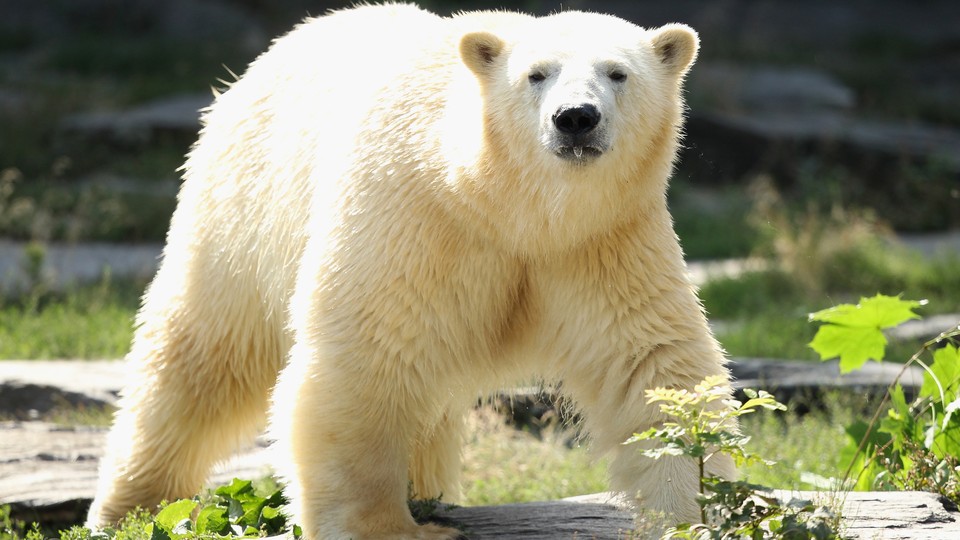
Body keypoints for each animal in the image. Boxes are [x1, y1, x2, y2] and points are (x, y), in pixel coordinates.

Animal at [88, 2, 736, 536]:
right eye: (536, 74)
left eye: (617, 73)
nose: (576, 118)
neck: (509, 205)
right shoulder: (415, 219)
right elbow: (371, 355)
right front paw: (392, 528)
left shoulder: (603, 241)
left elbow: (653, 369)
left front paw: (695, 514)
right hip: (242, 204)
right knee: (200, 355)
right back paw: (130, 505)